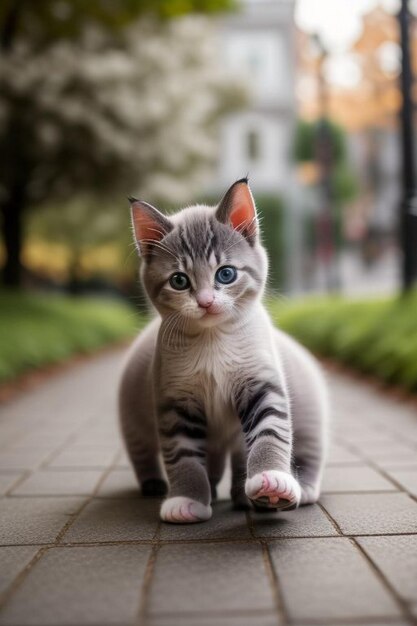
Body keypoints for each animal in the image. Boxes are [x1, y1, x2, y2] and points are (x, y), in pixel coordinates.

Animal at [119, 177, 328, 520]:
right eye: (179, 280)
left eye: (226, 274)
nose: (205, 301)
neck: (213, 340)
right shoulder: (174, 402)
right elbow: (183, 457)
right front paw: (187, 499)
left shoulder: (260, 383)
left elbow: (270, 432)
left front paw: (272, 480)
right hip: (132, 413)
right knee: (144, 452)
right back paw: (158, 484)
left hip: (310, 411)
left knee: (304, 450)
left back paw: (291, 489)